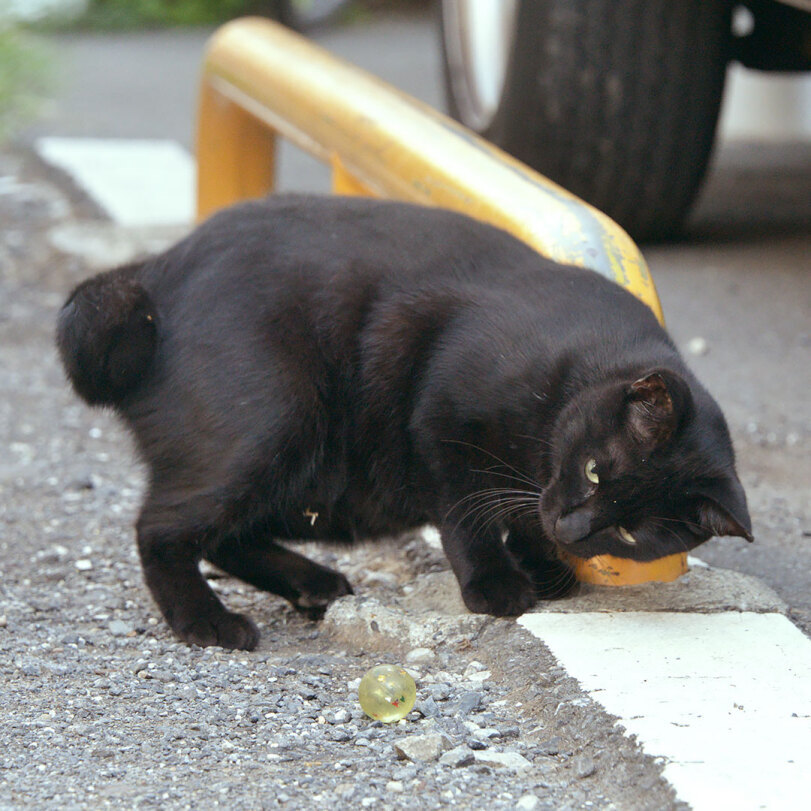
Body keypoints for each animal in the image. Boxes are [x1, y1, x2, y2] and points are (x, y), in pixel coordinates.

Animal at [57, 193, 756, 652]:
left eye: (632, 532)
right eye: (593, 469)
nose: (577, 527)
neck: (572, 368)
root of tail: (153, 273)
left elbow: (523, 513)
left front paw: (543, 560)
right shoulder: (442, 420)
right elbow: (468, 513)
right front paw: (499, 583)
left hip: (320, 486)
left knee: (224, 534)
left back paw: (312, 583)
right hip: (275, 427)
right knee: (162, 527)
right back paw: (207, 622)